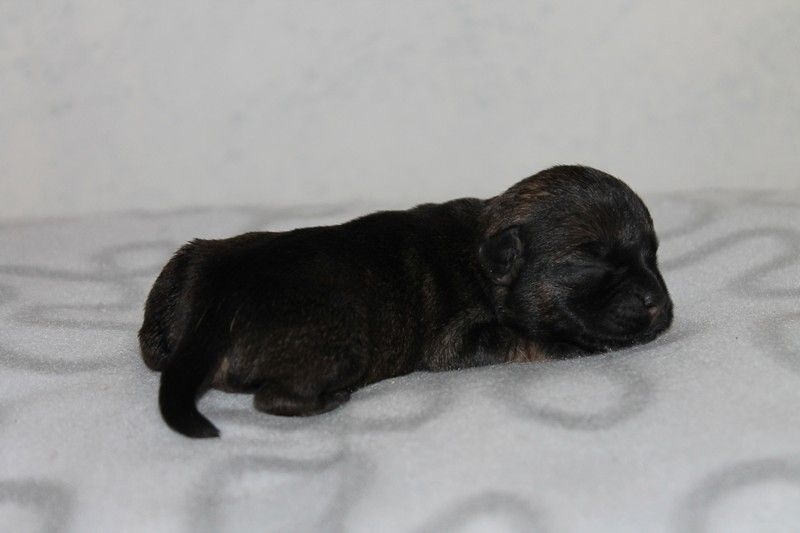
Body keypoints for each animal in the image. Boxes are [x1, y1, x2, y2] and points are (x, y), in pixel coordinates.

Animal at [139, 165, 673, 438]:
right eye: (591, 261)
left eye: (653, 254)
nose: (657, 303)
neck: (483, 254)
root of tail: (216, 306)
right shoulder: (458, 341)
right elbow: (526, 339)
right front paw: (570, 346)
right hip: (344, 344)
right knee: (273, 398)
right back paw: (332, 400)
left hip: (184, 266)